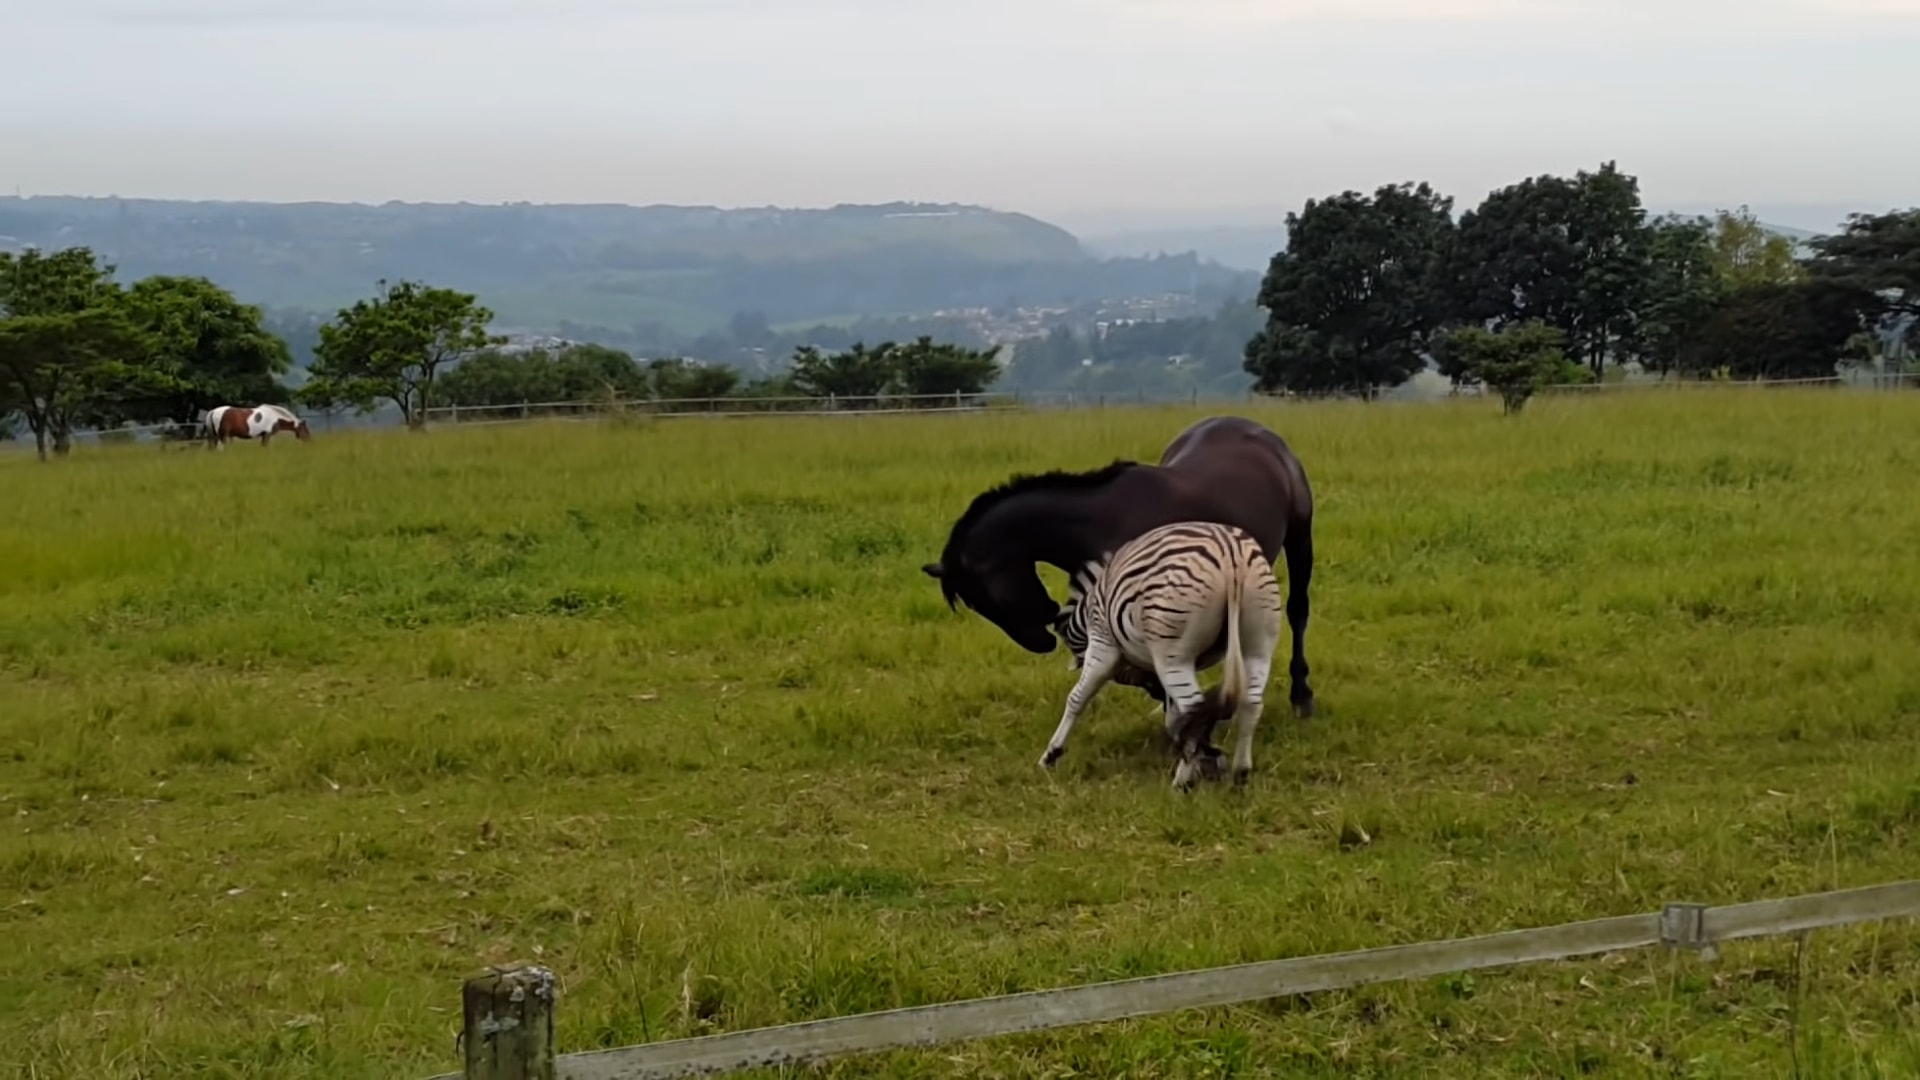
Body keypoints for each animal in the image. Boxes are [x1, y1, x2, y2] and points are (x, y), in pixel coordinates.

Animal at [917, 417, 1320, 718]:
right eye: (975, 603)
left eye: (986, 596)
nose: (1040, 642)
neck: (1097, 526)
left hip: (1299, 538)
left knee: (1297, 612)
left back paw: (1301, 695)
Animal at [1044, 518, 1282, 787]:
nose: (1156, 691)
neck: (1088, 610)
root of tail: (1232, 553)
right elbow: (1176, 719)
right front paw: (1207, 759)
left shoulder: (1103, 644)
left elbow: (1077, 698)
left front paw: (1051, 754)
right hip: (1258, 644)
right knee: (1250, 703)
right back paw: (1240, 772)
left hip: (1172, 654)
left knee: (1194, 708)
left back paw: (1182, 782)